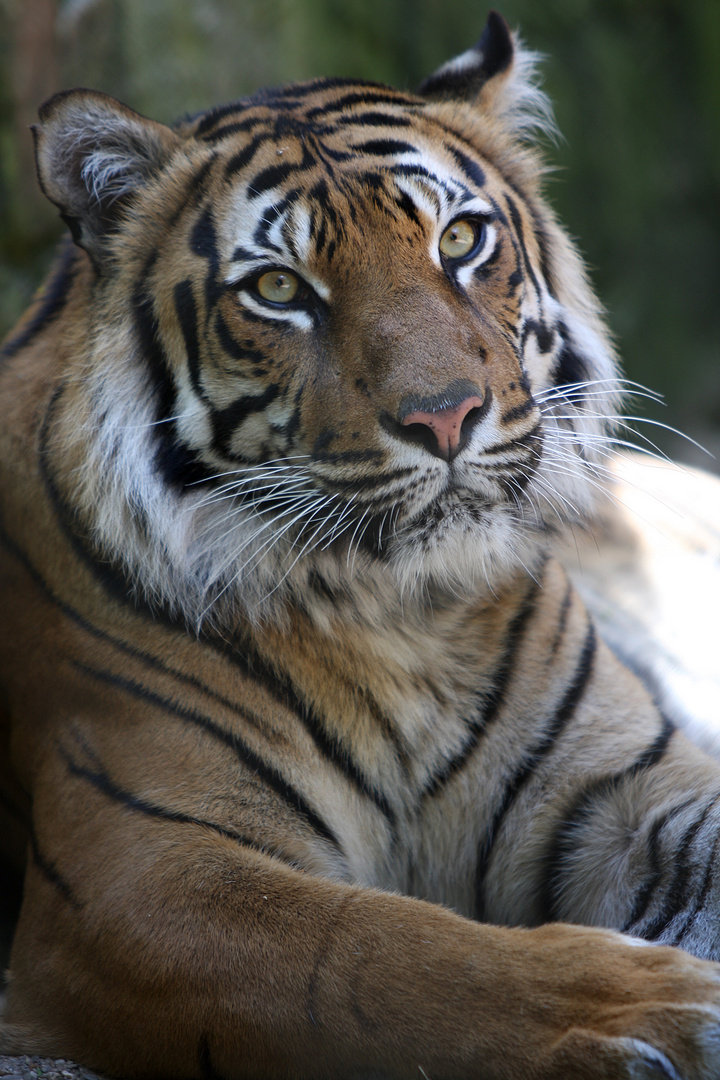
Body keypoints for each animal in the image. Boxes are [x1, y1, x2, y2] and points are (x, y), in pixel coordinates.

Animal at [1, 10, 720, 1080]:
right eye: (278, 288)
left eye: (459, 239)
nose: (446, 417)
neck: (405, 619)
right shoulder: (143, 869)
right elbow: (386, 957)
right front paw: (668, 1005)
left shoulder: (625, 788)